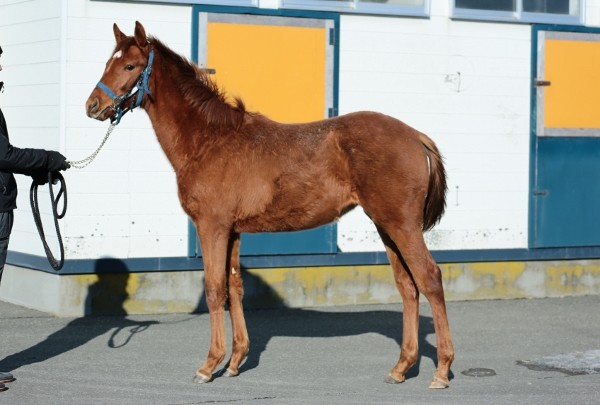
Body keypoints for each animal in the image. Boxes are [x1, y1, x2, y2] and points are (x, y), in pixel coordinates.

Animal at [85, 21, 454, 389]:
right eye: (108, 62)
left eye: (130, 66)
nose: (92, 105)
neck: (209, 140)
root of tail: (416, 136)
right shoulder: (232, 231)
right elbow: (234, 287)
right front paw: (235, 361)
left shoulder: (212, 226)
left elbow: (214, 289)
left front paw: (209, 365)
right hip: (385, 225)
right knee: (408, 286)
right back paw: (401, 368)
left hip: (401, 225)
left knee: (429, 278)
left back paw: (441, 370)